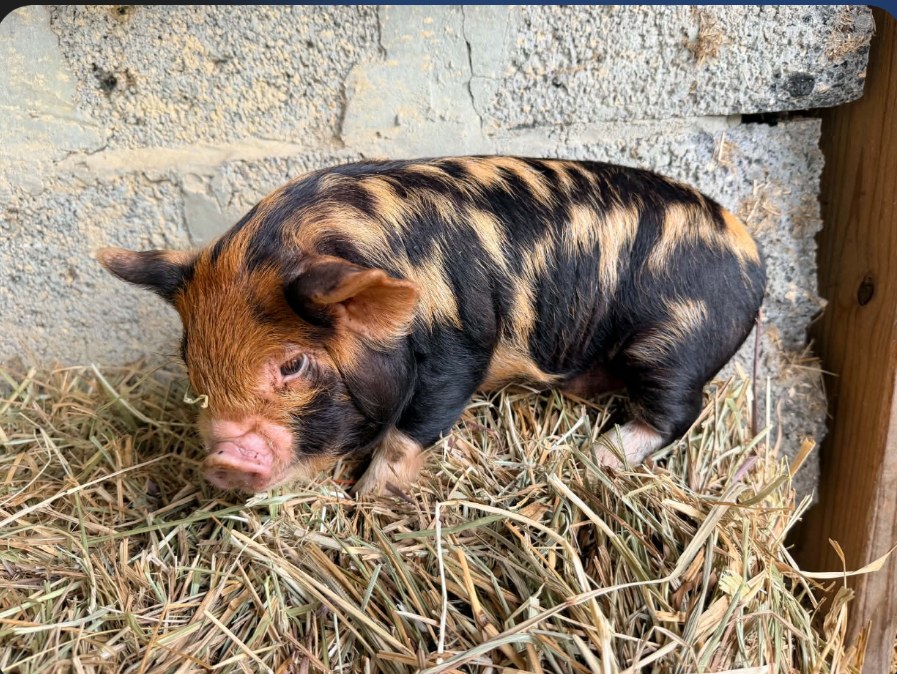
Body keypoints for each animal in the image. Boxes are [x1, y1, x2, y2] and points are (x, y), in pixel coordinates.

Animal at [98, 156, 765, 496]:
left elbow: (412, 428)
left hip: (675, 340)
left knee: (682, 408)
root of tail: (752, 250)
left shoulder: (460, 345)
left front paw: (368, 499)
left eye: (293, 363)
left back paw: (602, 453)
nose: (222, 461)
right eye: (190, 360)